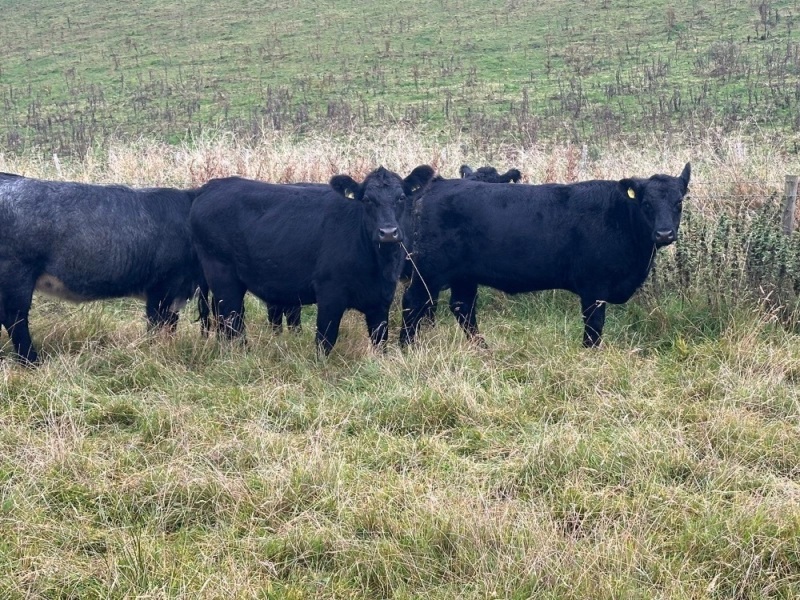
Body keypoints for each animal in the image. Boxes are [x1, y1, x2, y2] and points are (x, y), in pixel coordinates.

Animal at [0, 171, 206, 364]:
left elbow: (170, 325)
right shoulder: (163, 286)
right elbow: (157, 324)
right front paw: (155, 353)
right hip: (17, 272)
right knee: (14, 318)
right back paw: (32, 362)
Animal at [190, 164, 434, 354]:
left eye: (401, 197)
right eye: (366, 200)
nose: (388, 232)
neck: (377, 264)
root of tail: (209, 187)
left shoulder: (381, 299)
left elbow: (380, 341)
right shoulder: (329, 294)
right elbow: (325, 340)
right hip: (223, 276)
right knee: (232, 321)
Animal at [404, 163, 692, 346]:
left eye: (678, 202)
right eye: (646, 204)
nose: (664, 233)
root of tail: (438, 184)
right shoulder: (594, 288)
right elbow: (594, 328)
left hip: (464, 275)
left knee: (463, 308)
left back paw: (482, 349)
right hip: (428, 271)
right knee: (414, 303)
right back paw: (407, 348)